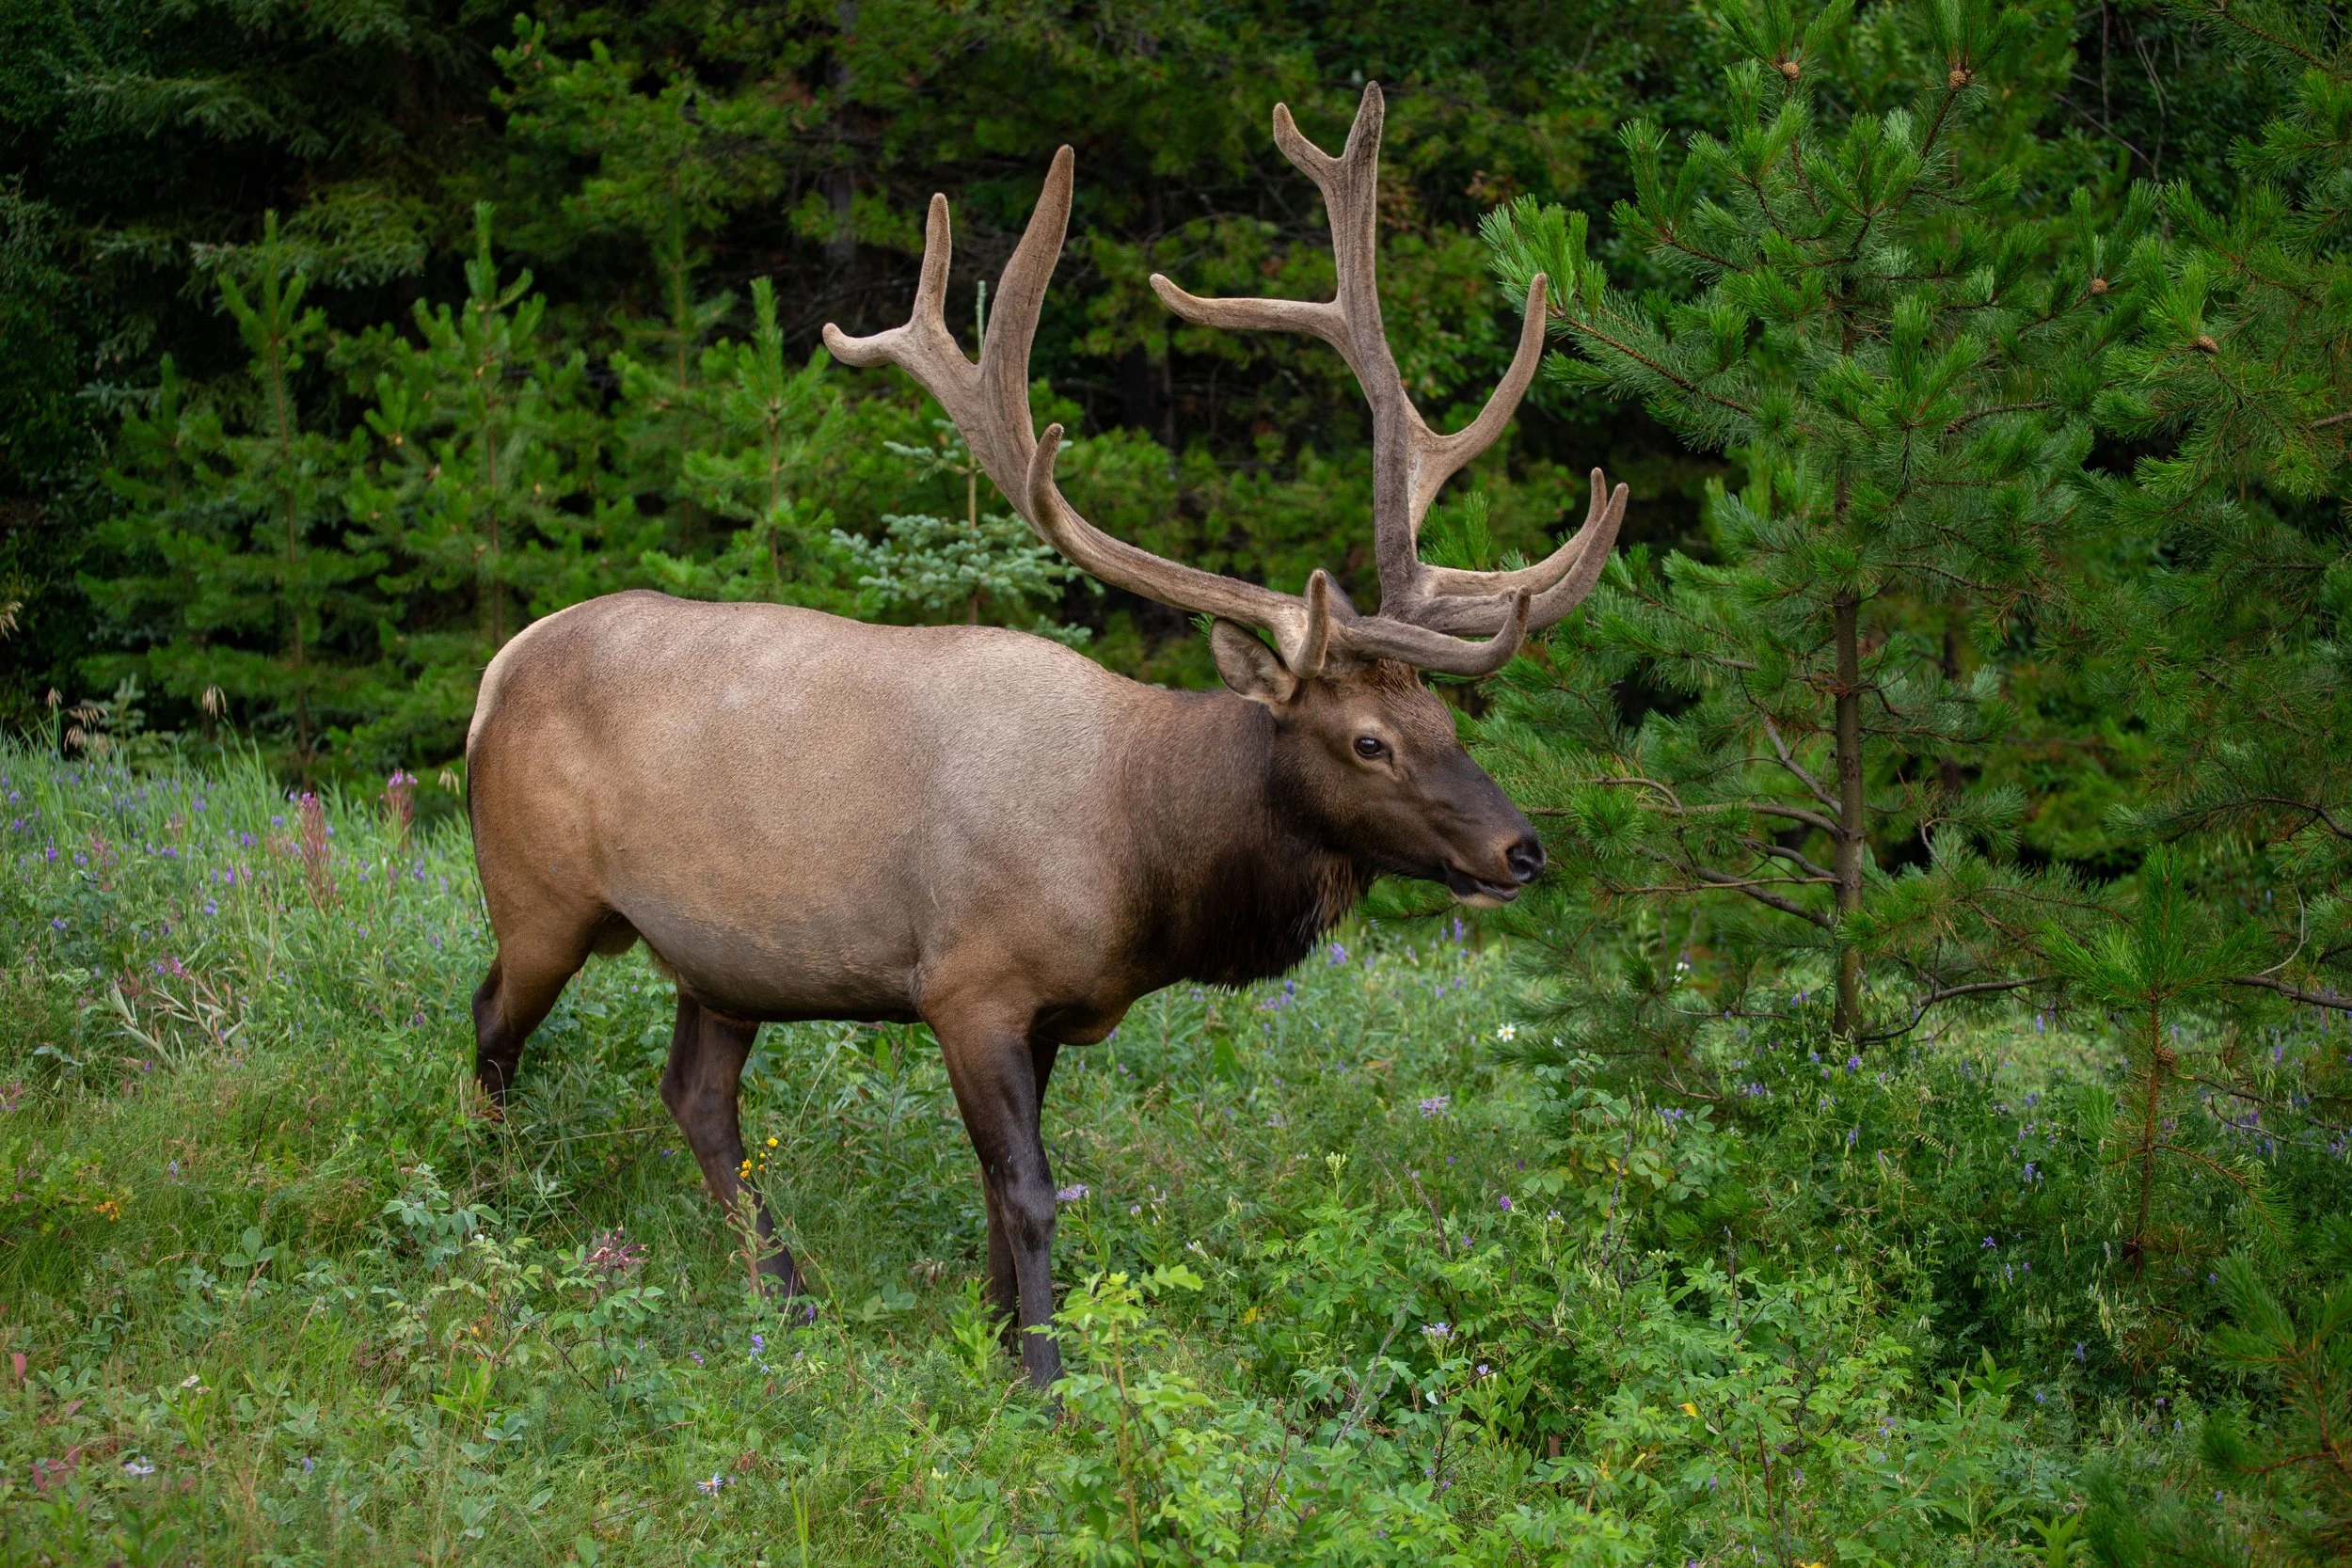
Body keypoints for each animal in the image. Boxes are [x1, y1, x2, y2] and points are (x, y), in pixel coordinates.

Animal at [462, 83, 1624, 1388]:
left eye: (1442, 714)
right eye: (1369, 739)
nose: (1521, 848)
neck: (1140, 859)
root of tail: (497, 671)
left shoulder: (1052, 1010)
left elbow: (991, 1190)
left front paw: (991, 1339)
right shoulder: (969, 981)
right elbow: (1025, 1190)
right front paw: (1044, 1377)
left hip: (722, 954)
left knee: (696, 1095)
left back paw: (789, 1303)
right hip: (538, 892)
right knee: (491, 1027)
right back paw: (494, 1210)